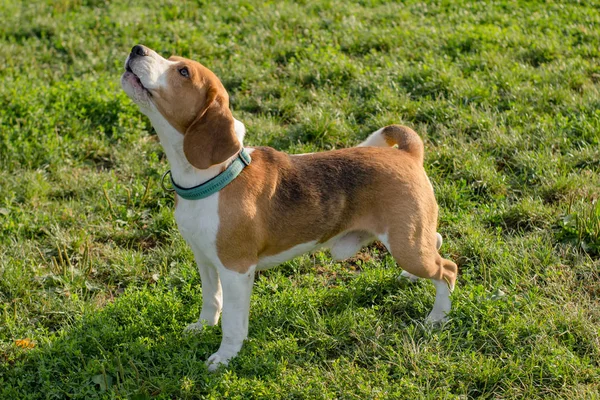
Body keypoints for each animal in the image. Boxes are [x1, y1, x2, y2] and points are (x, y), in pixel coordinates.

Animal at [122, 44, 460, 372]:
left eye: (183, 71)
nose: (136, 49)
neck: (213, 177)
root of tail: (408, 154)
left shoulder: (236, 270)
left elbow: (232, 323)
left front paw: (225, 357)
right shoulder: (204, 259)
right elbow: (211, 300)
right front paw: (203, 326)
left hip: (406, 244)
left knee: (447, 269)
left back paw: (436, 318)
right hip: (410, 238)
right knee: (437, 242)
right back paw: (411, 279)